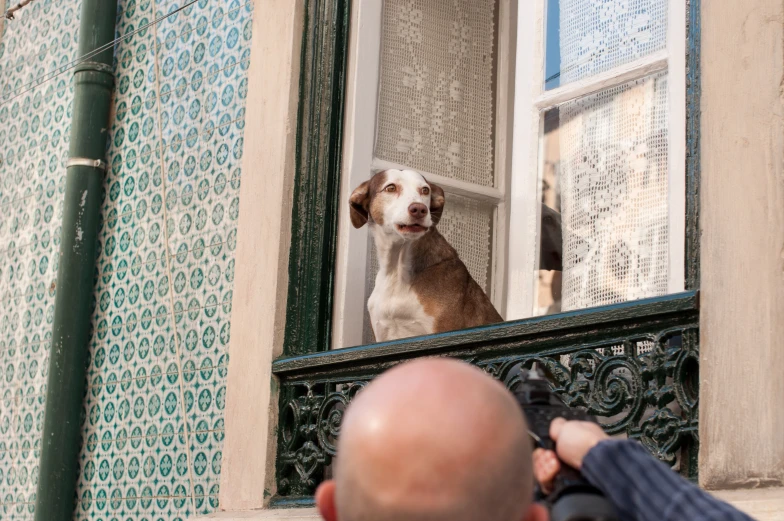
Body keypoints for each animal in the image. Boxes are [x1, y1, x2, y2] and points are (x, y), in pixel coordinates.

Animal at [350, 169, 502, 344]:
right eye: (390, 188)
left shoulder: (442, 330)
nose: (419, 209)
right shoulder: (383, 334)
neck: (397, 270)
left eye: (425, 190)